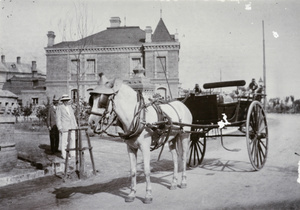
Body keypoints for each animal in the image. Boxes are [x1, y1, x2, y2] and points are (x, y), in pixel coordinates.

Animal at [88, 73, 192, 203]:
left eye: (103, 100)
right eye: (92, 100)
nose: (91, 122)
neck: (138, 117)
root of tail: (182, 104)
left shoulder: (145, 148)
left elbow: (147, 170)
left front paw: (148, 195)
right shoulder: (130, 147)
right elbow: (133, 171)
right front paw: (132, 194)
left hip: (184, 135)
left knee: (183, 157)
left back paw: (183, 182)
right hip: (172, 138)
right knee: (175, 158)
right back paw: (173, 183)